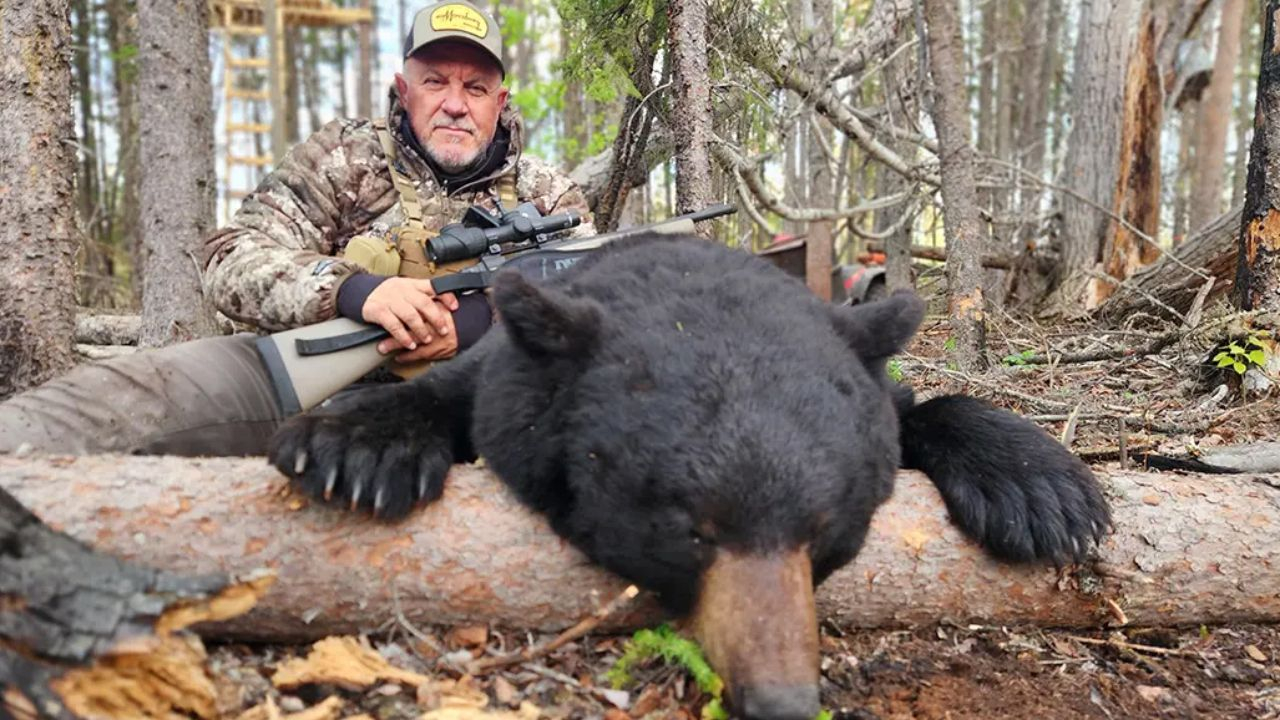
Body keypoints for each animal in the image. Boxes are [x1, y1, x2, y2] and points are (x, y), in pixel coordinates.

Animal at [269, 235, 1110, 720]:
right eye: (692, 530)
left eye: (825, 533)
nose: (781, 702)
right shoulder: (502, 373)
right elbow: (439, 396)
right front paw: (356, 448)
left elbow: (926, 407)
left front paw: (1045, 493)